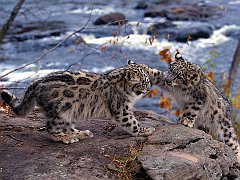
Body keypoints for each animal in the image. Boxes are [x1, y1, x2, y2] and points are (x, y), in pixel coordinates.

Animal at [0, 61, 160, 144]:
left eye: (148, 81)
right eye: (144, 83)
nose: (149, 89)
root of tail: (37, 82)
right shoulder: (121, 108)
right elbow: (131, 122)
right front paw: (144, 130)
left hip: (70, 110)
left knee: (68, 126)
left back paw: (81, 133)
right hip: (59, 112)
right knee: (51, 128)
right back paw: (66, 138)